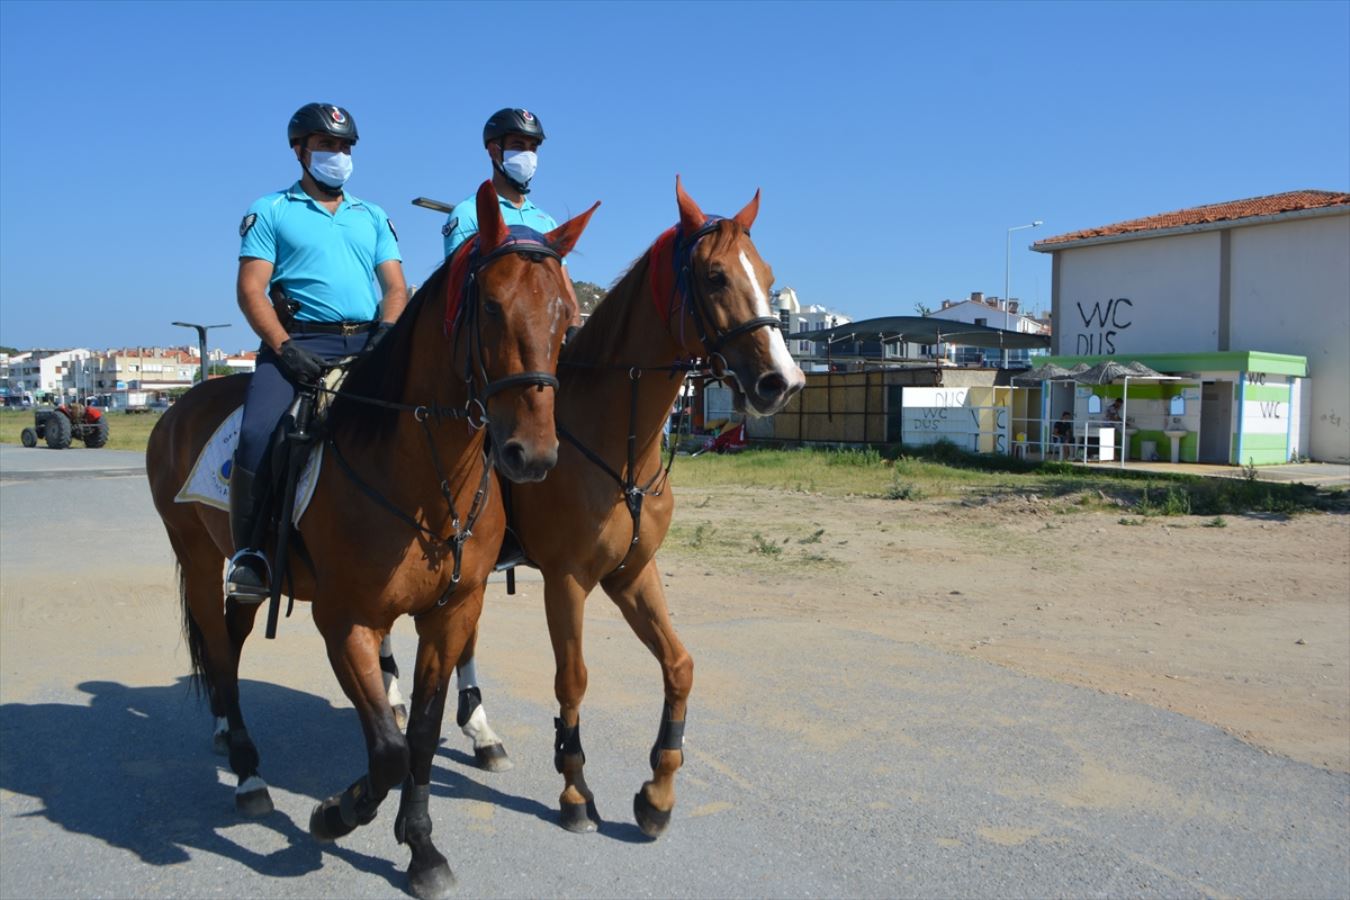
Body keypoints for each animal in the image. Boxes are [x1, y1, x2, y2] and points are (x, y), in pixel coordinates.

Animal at [145, 179, 599, 895]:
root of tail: (179, 408)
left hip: (247, 576)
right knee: (217, 649)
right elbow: (386, 750)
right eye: (491, 308)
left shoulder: (450, 612)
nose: (531, 454)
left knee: (232, 641)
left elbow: (419, 737)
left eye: (564, 317)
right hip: (194, 557)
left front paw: (422, 847)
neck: (416, 471)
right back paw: (246, 773)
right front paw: (335, 814)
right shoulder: (346, 620)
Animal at [394, 175, 804, 836]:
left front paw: (659, 791)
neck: (620, 451)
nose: (783, 381)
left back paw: (482, 733)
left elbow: (680, 665)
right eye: (715, 277)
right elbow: (573, 681)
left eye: (767, 276)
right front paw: (574, 790)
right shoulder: (567, 580)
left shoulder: (633, 573)